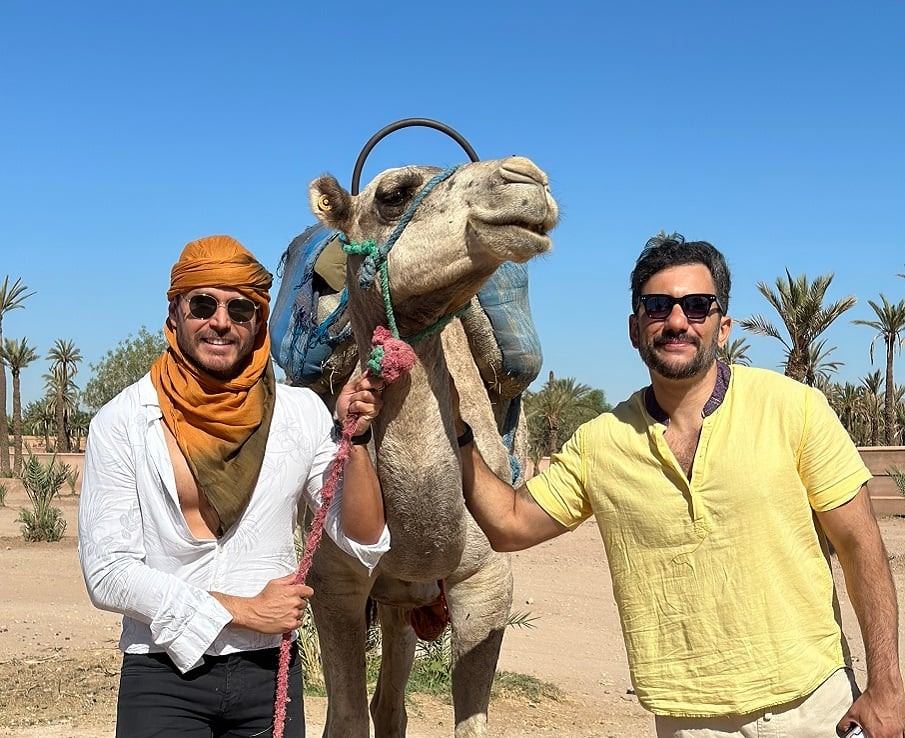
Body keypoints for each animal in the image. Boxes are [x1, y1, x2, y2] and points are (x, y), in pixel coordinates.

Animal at [298, 152, 556, 732]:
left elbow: (472, 723)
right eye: (394, 194)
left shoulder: (487, 582)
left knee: (391, 702)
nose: (527, 178)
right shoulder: (335, 583)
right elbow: (346, 720)